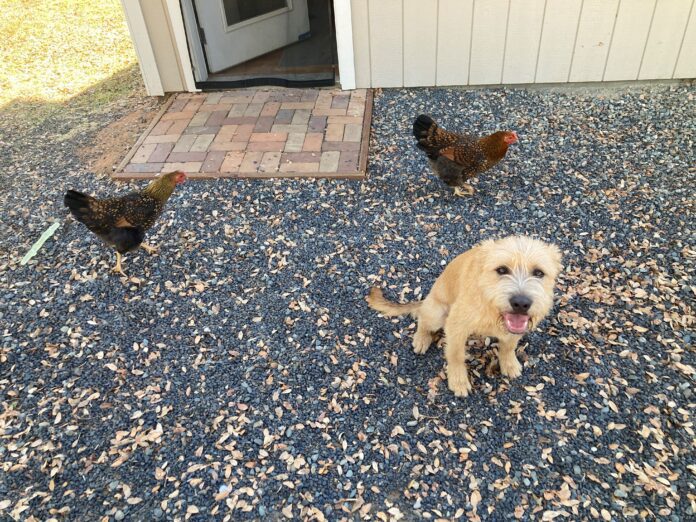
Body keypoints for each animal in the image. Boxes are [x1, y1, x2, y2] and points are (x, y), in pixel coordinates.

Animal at [368, 235, 564, 394]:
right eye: (501, 270)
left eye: (539, 272)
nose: (521, 303)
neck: (491, 308)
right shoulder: (456, 326)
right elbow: (456, 355)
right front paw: (458, 381)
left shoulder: (516, 328)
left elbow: (508, 346)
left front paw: (508, 363)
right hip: (437, 312)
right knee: (423, 320)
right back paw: (422, 338)